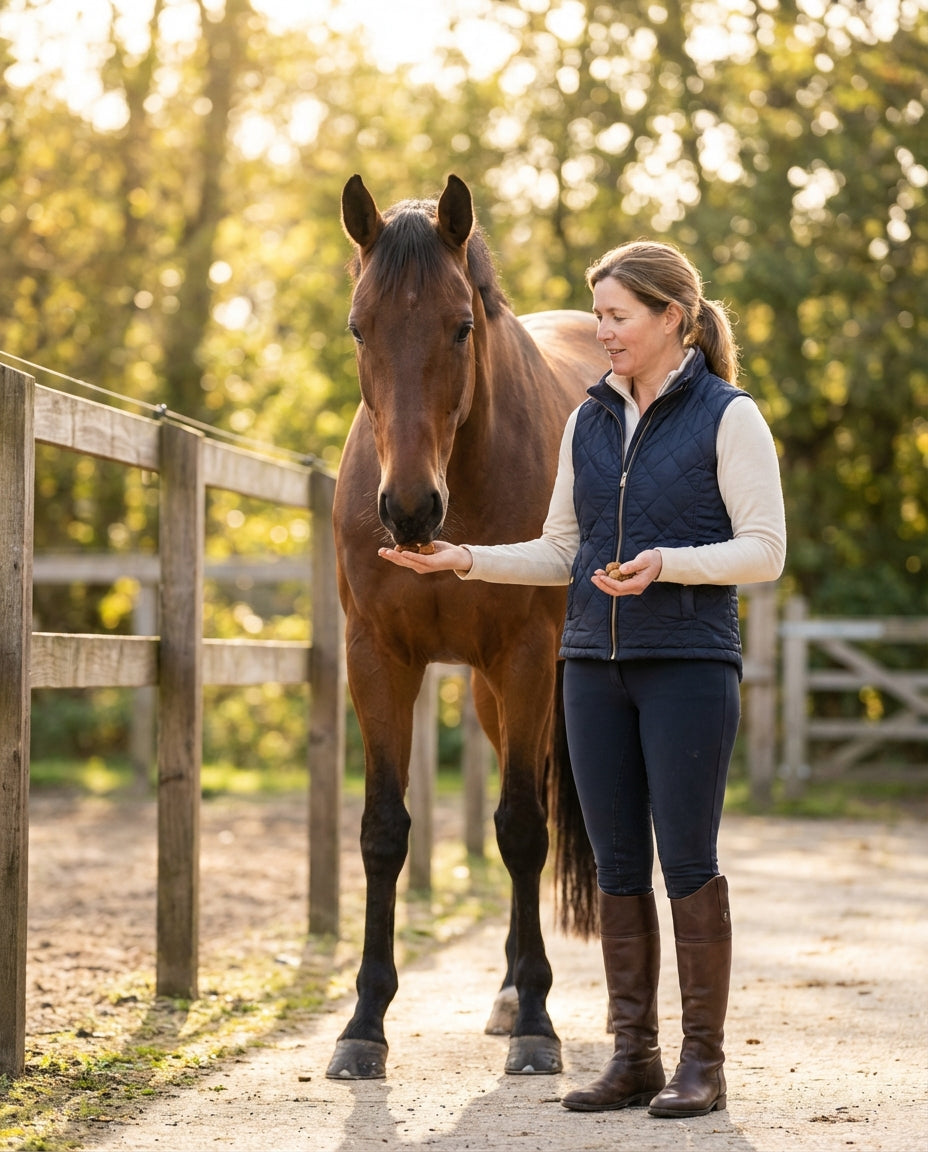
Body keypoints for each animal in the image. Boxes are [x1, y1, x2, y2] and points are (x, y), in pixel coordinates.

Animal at [327, 174, 605, 1081]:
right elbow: (383, 833)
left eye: (460, 325)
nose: (411, 510)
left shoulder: (526, 660)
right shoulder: (376, 660)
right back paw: (511, 991)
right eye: (359, 326)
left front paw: (539, 1028)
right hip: (486, 696)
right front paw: (363, 1025)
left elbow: (520, 830)